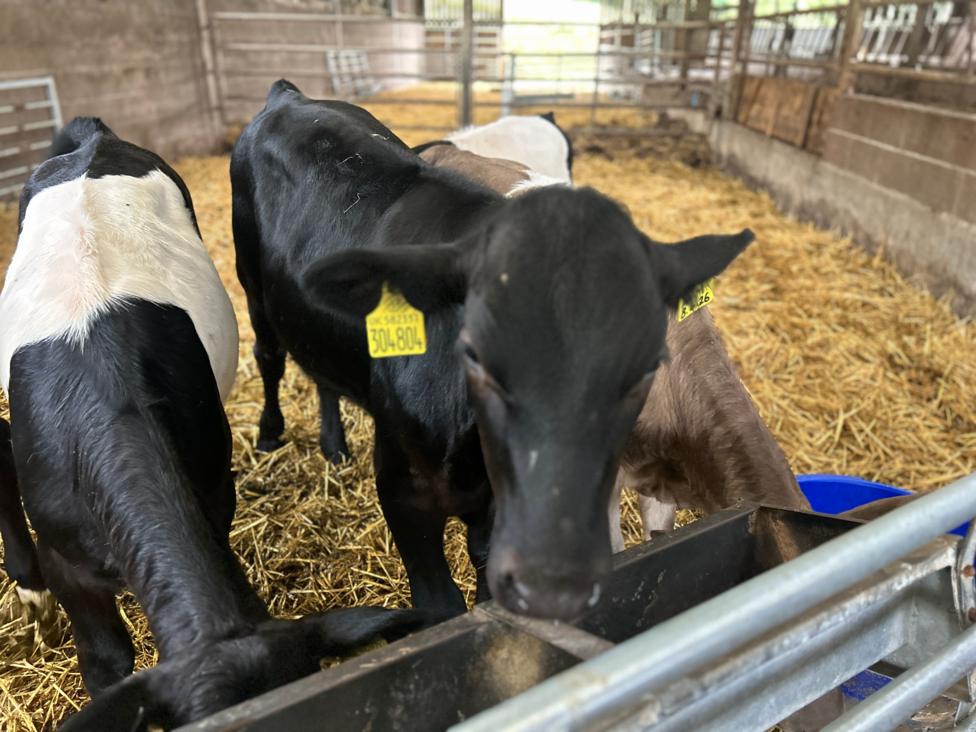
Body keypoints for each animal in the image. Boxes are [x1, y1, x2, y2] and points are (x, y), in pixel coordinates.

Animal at [232, 80, 753, 621]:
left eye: (645, 368)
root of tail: (289, 95)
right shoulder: (403, 495)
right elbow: (442, 604)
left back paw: (334, 446)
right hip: (252, 284)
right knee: (269, 357)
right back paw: (269, 435)